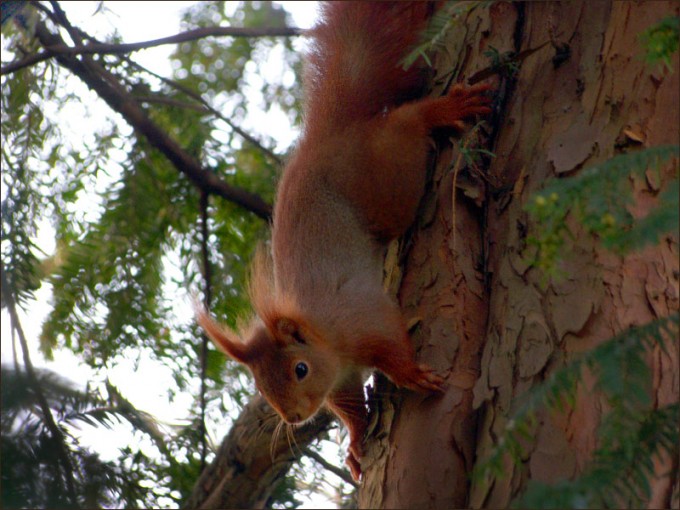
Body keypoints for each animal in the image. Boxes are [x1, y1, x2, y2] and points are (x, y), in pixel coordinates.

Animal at [197, 1, 491, 481]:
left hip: (387, 180)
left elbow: (391, 341)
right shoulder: (341, 383)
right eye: (260, 384)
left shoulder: (363, 316)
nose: (295, 417)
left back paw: (444, 109)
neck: (327, 342)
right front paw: (355, 443)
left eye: (299, 369)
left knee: (407, 123)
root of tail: (330, 135)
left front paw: (411, 374)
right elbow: (351, 407)